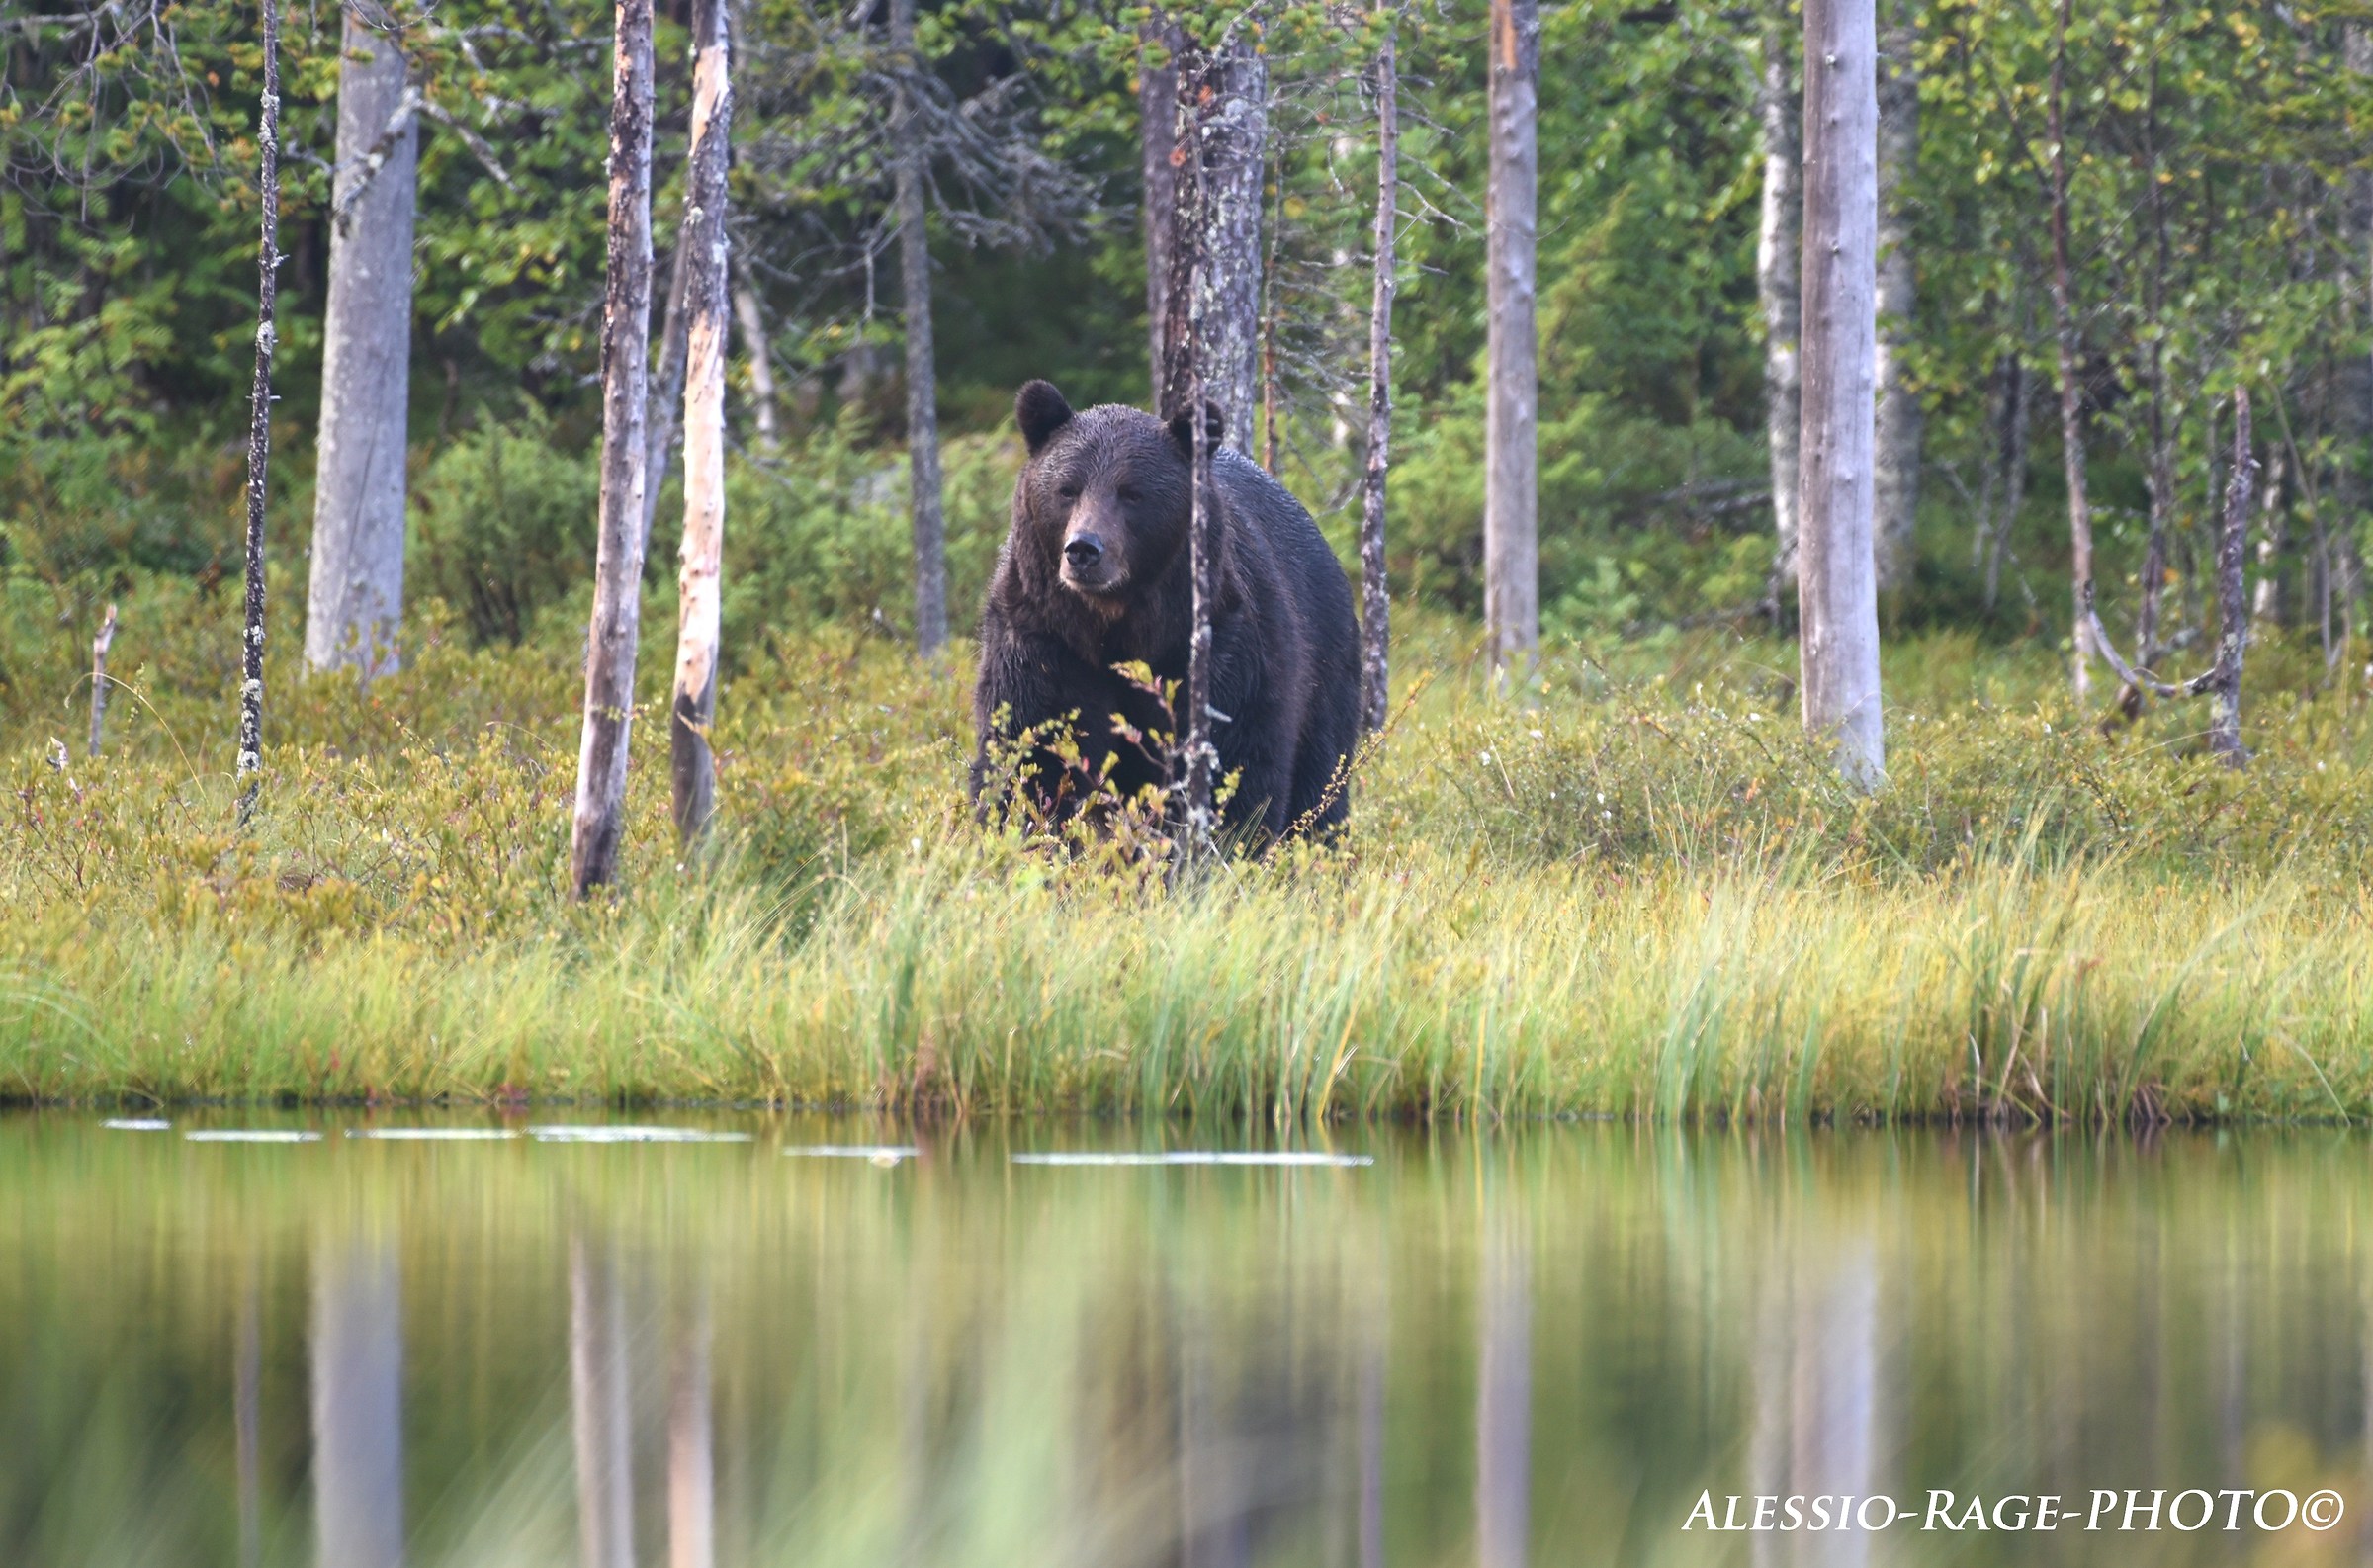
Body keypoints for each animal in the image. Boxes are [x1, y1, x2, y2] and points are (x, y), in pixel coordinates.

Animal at [970, 379, 1362, 844]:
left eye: (1132, 493)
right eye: (1067, 489)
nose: (1083, 549)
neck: (1115, 626)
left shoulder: (1222, 644)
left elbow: (1235, 759)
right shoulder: (1043, 636)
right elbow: (1030, 746)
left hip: (1326, 657)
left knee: (1322, 773)